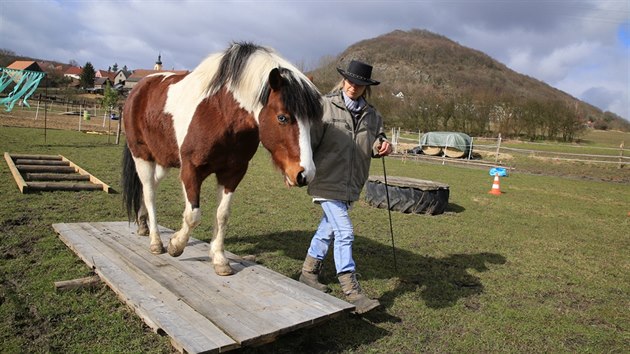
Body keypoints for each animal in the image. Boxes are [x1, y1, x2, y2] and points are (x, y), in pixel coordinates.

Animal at [121, 42, 324, 276]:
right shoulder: (191, 170)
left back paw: (142, 224)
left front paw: (219, 259)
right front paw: (175, 245)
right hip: (142, 157)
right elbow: (193, 215)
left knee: (149, 188)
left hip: (163, 160)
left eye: (311, 121)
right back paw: (155, 241)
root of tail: (139, 88)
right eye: (282, 117)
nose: (304, 174)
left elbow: (222, 215)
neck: (221, 113)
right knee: (149, 193)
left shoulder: (233, 173)